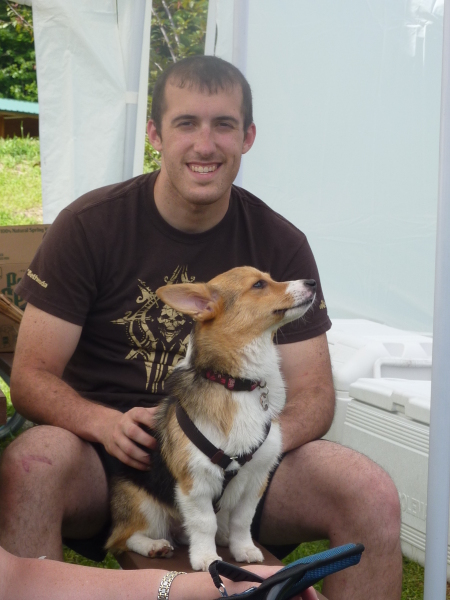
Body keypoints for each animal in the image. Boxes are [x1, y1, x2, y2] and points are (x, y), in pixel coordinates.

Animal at [105, 266, 316, 571]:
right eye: (259, 285)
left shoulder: (256, 479)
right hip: (142, 503)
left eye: (269, 277)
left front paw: (244, 549)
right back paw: (154, 546)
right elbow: (204, 523)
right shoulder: (196, 481)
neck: (237, 384)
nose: (312, 282)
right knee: (125, 537)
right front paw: (206, 558)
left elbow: (243, 520)